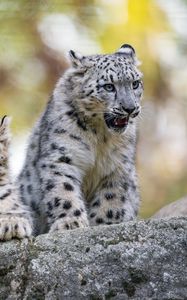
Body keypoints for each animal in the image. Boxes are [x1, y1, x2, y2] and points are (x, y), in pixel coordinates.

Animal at [0, 43, 143, 238]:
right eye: (108, 86)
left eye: (135, 83)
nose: (130, 108)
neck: (100, 136)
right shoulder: (61, 157)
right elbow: (64, 190)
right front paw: (71, 223)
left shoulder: (118, 164)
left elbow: (111, 197)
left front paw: (104, 223)